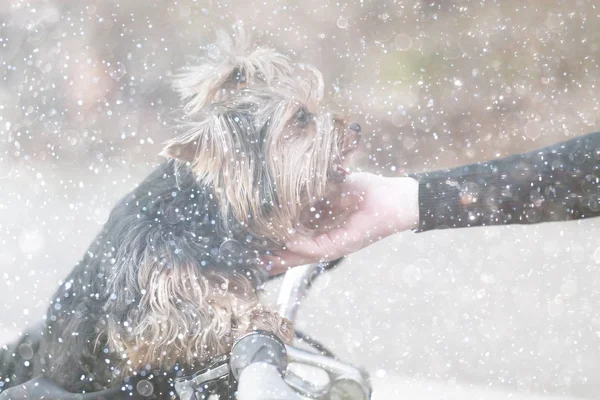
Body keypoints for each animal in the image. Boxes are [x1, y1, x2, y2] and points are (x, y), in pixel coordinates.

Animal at [0, 28, 358, 396]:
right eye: (301, 117)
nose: (356, 128)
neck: (195, 213)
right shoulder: (147, 303)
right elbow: (192, 314)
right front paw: (257, 318)